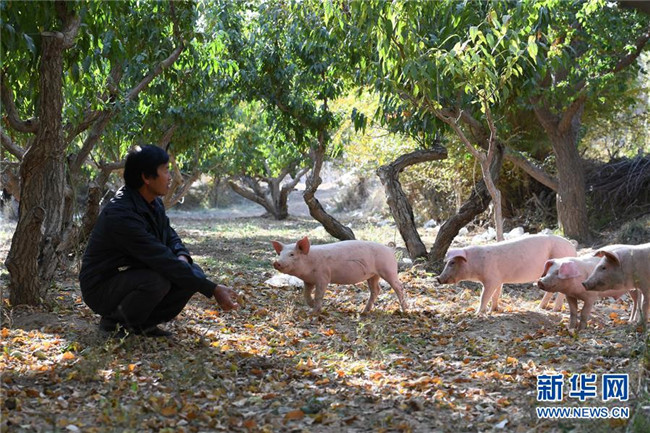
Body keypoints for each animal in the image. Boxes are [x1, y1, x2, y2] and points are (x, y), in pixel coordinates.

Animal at [271, 237, 407, 314]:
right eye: (280, 254)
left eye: (292, 254)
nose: (276, 262)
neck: (309, 262)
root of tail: (390, 249)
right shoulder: (308, 280)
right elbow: (306, 295)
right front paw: (311, 306)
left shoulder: (323, 277)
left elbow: (319, 295)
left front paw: (314, 312)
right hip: (373, 275)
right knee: (376, 289)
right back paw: (364, 311)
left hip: (388, 269)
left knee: (399, 287)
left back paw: (405, 310)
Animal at [436, 234, 576, 315]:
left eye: (452, 262)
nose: (438, 278)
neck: (475, 262)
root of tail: (573, 249)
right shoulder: (499, 280)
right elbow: (496, 295)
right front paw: (494, 310)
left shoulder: (491, 279)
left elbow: (484, 296)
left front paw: (477, 314)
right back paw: (540, 307)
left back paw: (555, 310)